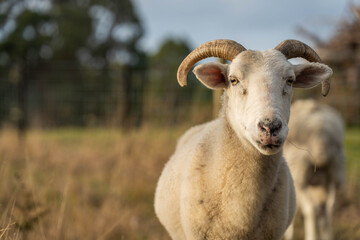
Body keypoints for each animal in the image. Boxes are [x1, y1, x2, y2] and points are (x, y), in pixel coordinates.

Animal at [282, 99, 344, 240]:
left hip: (300, 174)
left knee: (311, 209)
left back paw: (311, 236)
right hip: (335, 172)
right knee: (328, 208)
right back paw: (327, 236)